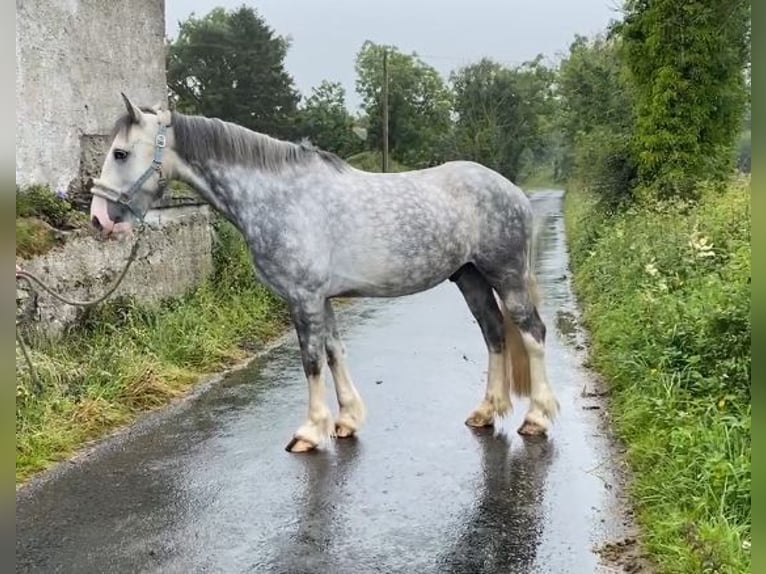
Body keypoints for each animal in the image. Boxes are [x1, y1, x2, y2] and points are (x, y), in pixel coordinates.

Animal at [90, 95, 560, 454]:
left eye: (120, 153)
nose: (98, 219)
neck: (279, 197)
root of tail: (511, 190)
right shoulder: (322, 298)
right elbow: (335, 351)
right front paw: (347, 420)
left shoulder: (303, 297)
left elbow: (312, 359)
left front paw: (310, 431)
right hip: (470, 277)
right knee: (494, 333)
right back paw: (486, 411)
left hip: (506, 275)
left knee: (532, 333)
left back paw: (536, 418)